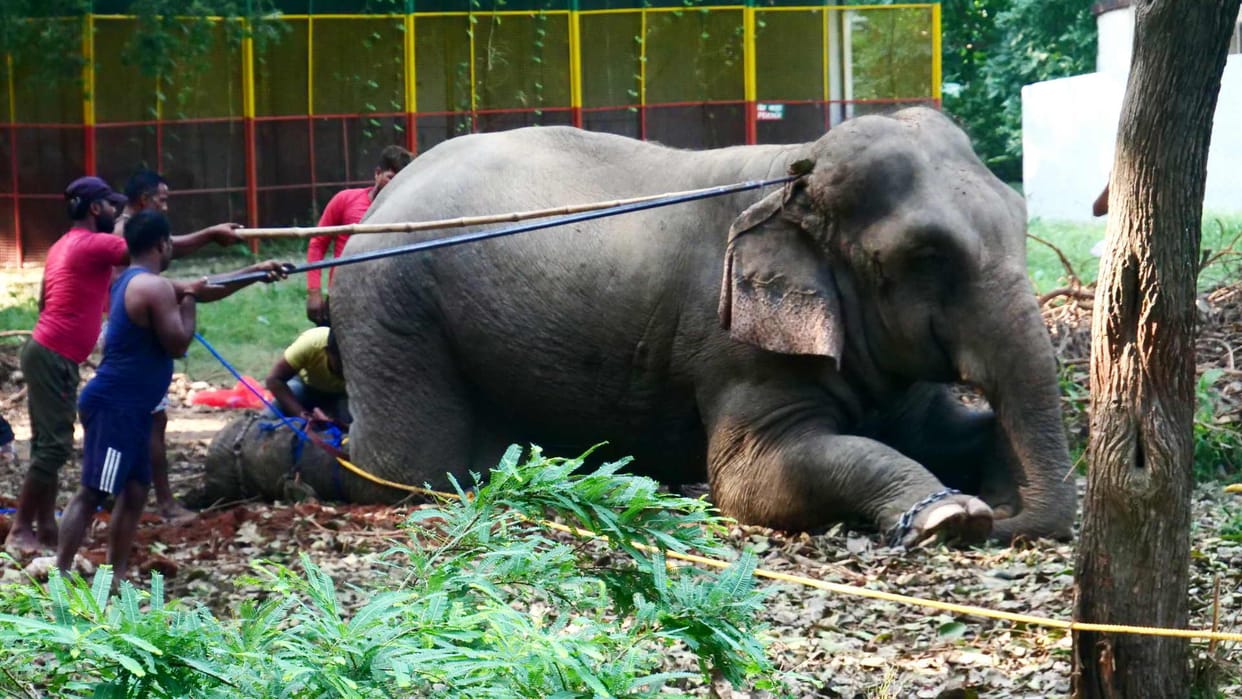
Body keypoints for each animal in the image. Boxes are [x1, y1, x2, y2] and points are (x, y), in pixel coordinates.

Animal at [330, 107, 1077, 545]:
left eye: (1020, 217)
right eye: (927, 256)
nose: (1007, 519)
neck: (793, 168)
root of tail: (386, 198)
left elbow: (932, 428)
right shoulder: (733, 345)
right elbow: (752, 481)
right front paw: (950, 512)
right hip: (393, 307)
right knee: (408, 469)